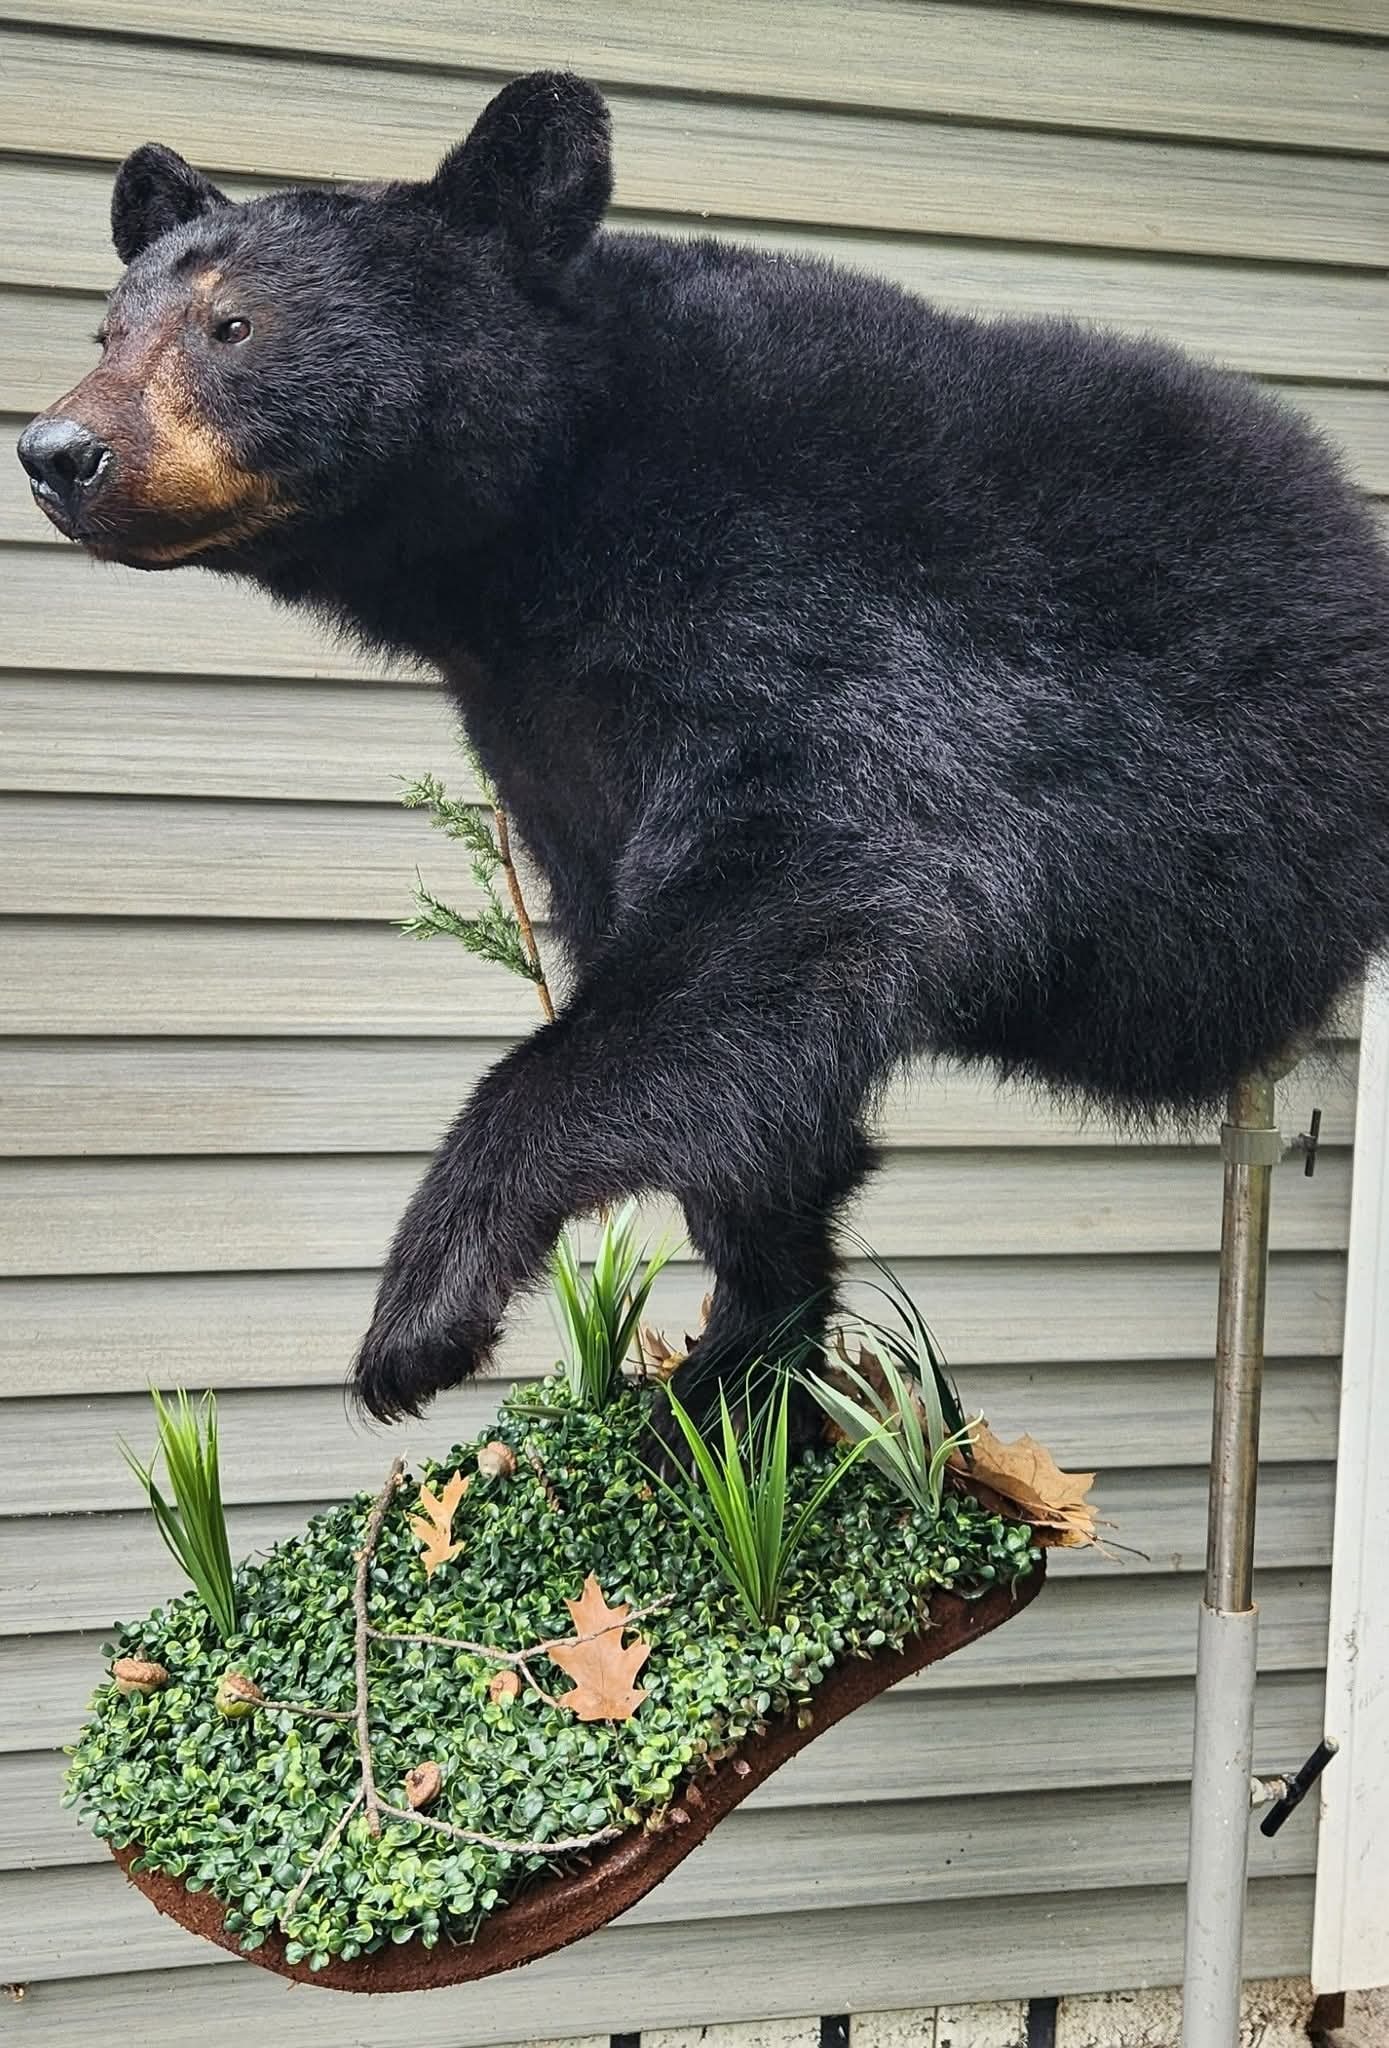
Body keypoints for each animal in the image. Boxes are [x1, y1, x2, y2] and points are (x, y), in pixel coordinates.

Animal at [18, 71, 1389, 1447]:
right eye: (105, 330)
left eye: (233, 324)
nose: (55, 452)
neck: (540, 529)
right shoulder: (554, 744)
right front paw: (741, 1357)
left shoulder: (803, 608)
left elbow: (801, 889)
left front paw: (421, 1313)